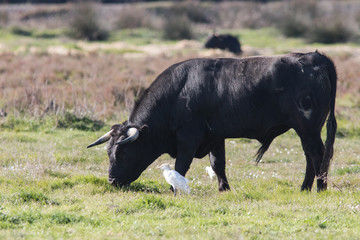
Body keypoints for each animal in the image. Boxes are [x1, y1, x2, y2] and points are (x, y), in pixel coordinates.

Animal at [88, 51, 336, 192]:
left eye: (124, 153)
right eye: (108, 152)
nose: (111, 180)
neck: (178, 92)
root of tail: (315, 56)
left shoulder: (188, 138)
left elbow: (180, 167)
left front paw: (175, 190)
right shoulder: (216, 137)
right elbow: (218, 164)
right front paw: (224, 189)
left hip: (308, 128)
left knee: (317, 155)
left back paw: (318, 188)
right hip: (305, 130)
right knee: (311, 156)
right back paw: (305, 188)